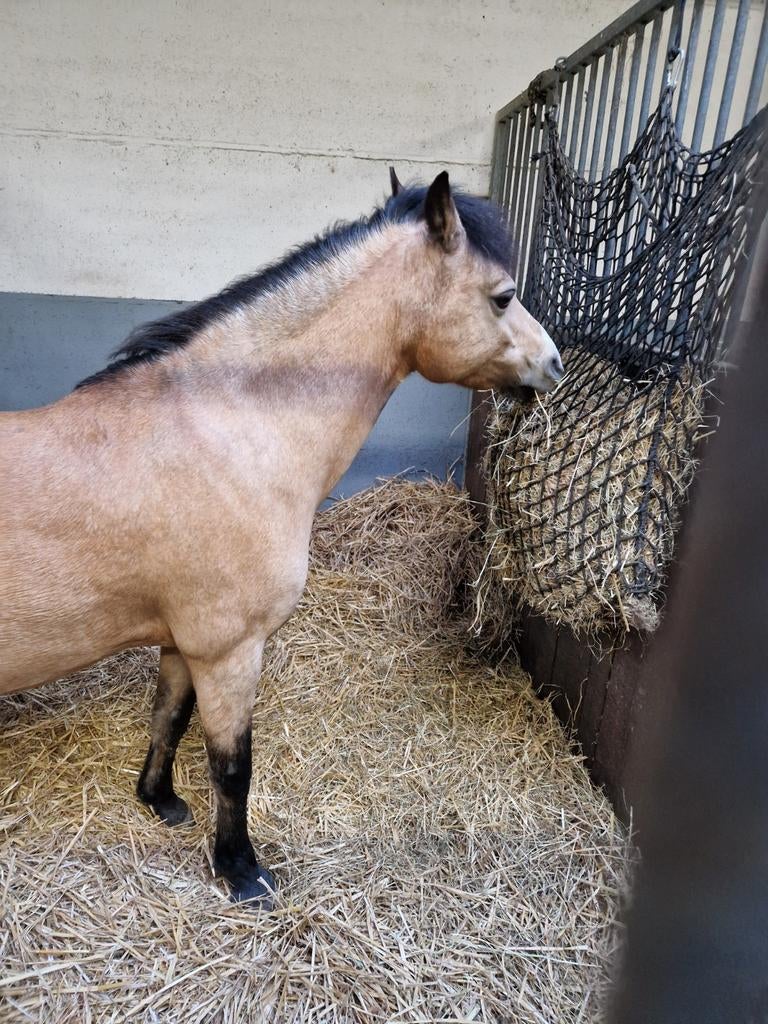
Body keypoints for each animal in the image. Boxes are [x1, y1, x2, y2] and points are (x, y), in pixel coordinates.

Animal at [0, 169, 563, 905]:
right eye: (502, 296)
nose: (554, 363)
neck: (223, 435)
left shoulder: (186, 644)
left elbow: (168, 718)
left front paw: (160, 801)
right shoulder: (230, 649)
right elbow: (232, 766)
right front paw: (241, 871)